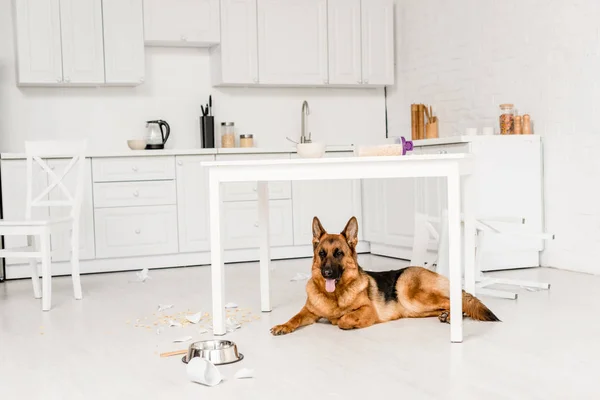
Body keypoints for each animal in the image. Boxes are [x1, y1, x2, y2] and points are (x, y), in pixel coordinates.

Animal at [270, 216, 500, 334]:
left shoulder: (367, 310)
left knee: (455, 300)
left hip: (411, 294)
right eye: (322, 254)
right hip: (414, 309)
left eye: (339, 254)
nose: (326, 273)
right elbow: (294, 318)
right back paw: (447, 315)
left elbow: (344, 319)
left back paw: (453, 315)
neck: (334, 296)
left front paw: (343, 321)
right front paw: (283, 326)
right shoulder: (307, 312)